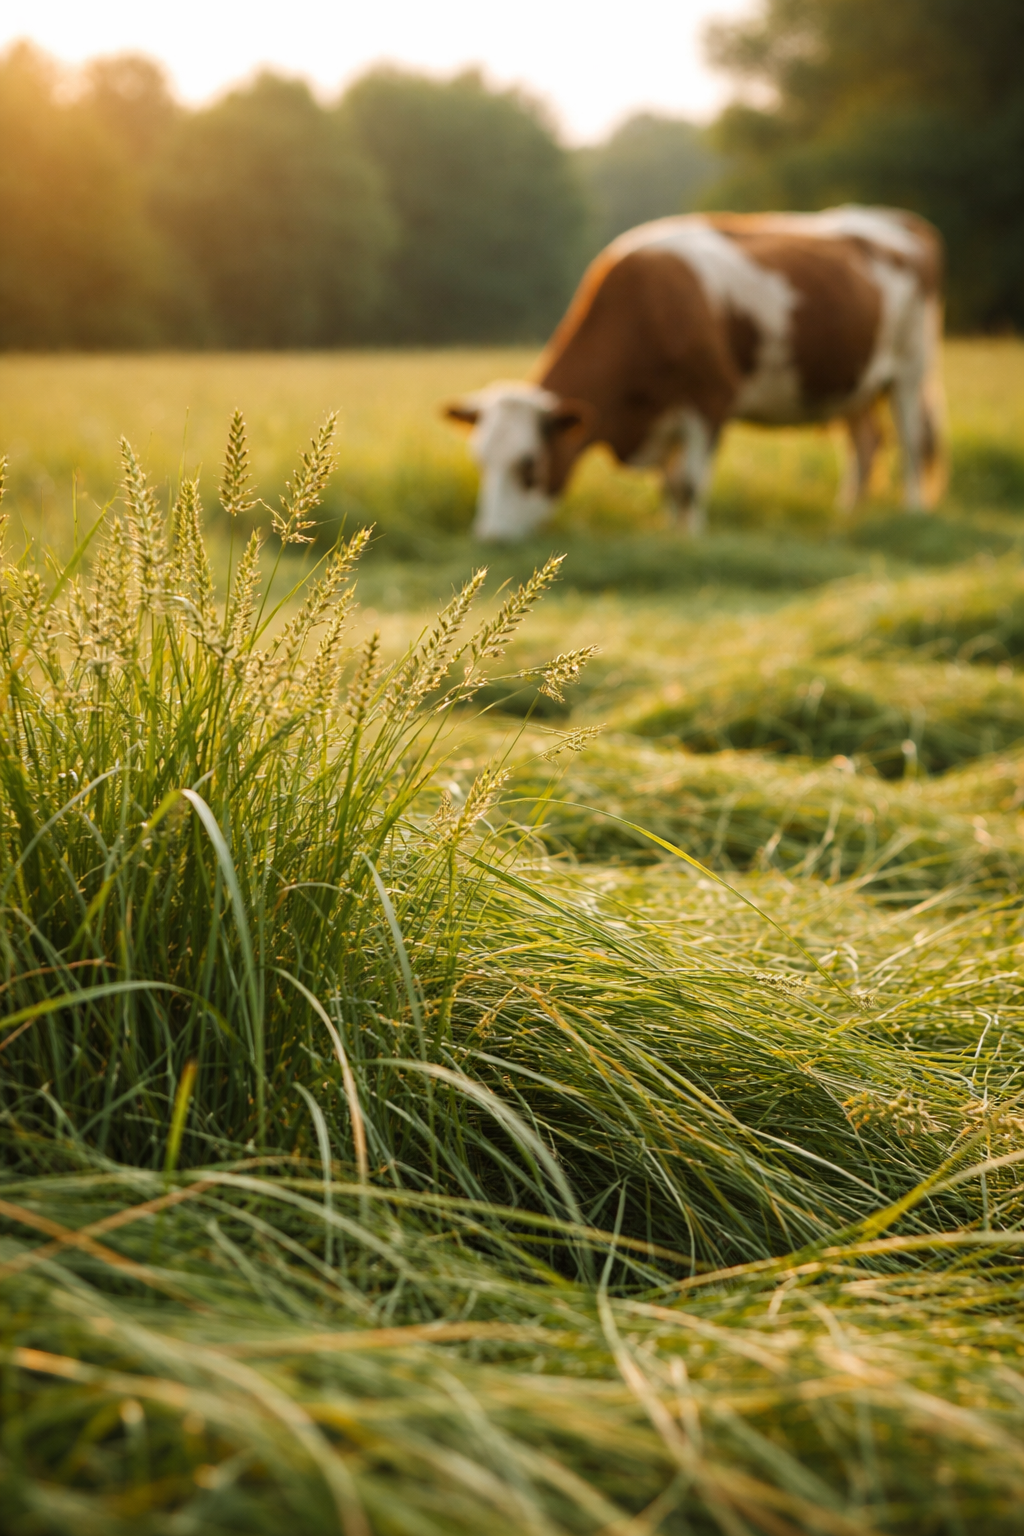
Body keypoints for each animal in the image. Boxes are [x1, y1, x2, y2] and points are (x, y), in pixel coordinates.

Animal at [445, 205, 945, 541]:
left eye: (529, 464)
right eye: (479, 460)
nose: (489, 538)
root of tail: (898, 220)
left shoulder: (709, 400)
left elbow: (688, 484)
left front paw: (691, 542)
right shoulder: (661, 417)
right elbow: (668, 486)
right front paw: (671, 533)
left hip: (910, 368)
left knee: (911, 441)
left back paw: (914, 512)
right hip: (852, 383)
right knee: (866, 443)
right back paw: (849, 513)